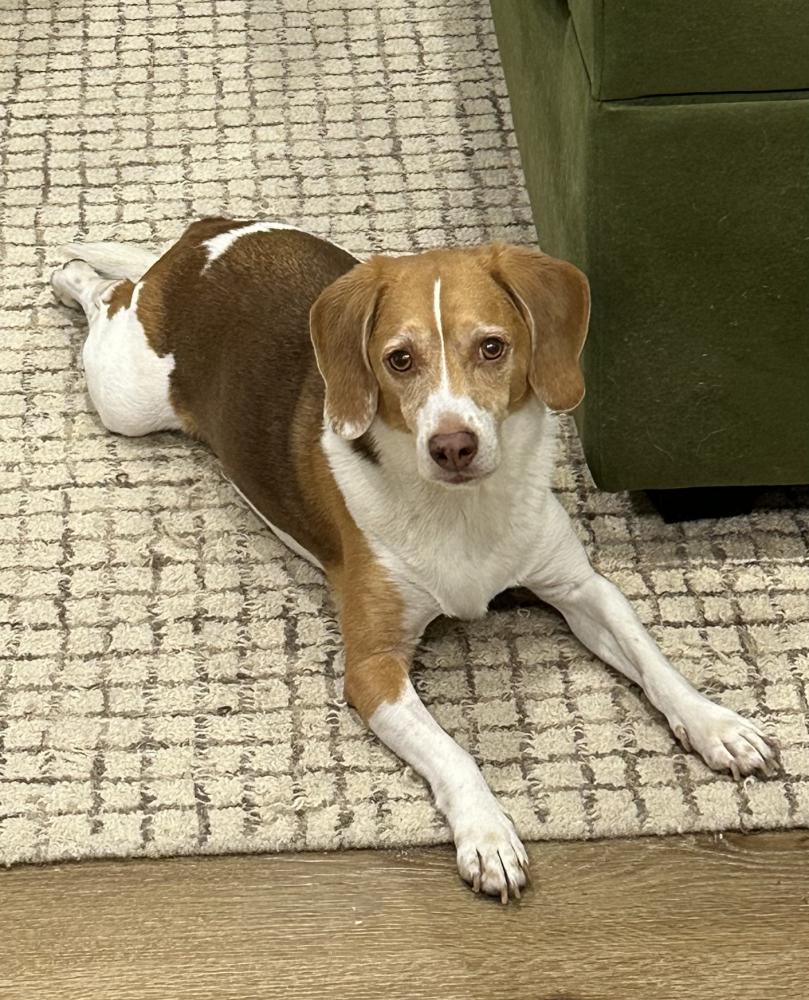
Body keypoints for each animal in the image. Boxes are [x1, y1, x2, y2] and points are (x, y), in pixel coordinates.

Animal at [52, 219, 778, 902]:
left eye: (492, 347)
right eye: (398, 360)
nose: (452, 445)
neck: (463, 511)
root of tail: (204, 239)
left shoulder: (581, 588)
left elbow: (654, 661)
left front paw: (715, 724)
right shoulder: (374, 669)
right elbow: (452, 753)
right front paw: (488, 834)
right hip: (126, 396)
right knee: (106, 297)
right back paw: (71, 276)